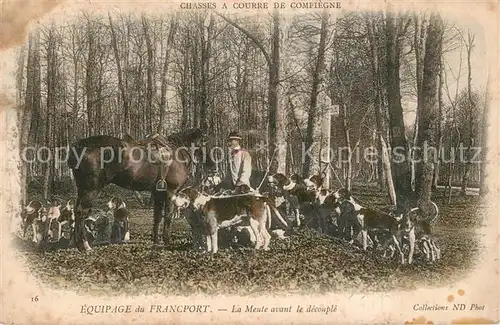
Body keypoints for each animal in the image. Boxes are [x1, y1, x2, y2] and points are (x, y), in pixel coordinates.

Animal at [67, 127, 214, 251]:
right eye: (205, 140)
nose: (212, 163)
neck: (177, 153)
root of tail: (79, 146)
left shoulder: (158, 193)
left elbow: (157, 217)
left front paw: (156, 241)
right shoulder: (171, 192)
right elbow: (168, 216)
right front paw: (166, 241)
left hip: (82, 190)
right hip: (91, 190)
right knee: (81, 212)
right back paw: (84, 245)